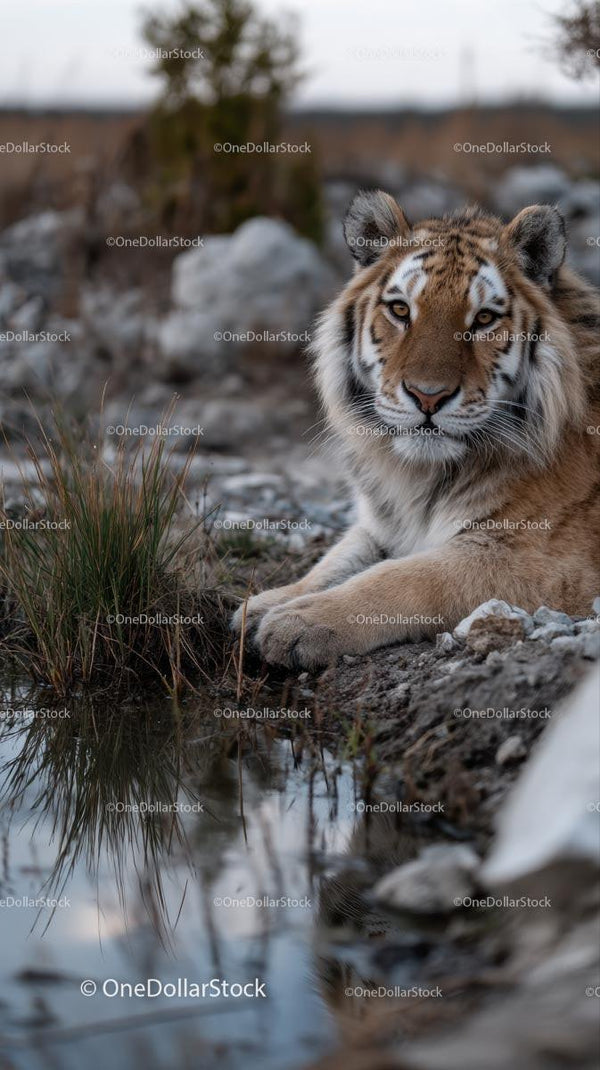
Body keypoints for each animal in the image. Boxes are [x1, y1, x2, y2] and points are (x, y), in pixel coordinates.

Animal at [232, 189, 600, 669]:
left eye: (484, 319)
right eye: (400, 310)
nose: (428, 396)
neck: (421, 476)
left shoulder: (540, 559)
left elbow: (407, 576)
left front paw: (297, 621)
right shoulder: (382, 521)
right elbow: (335, 560)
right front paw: (264, 604)